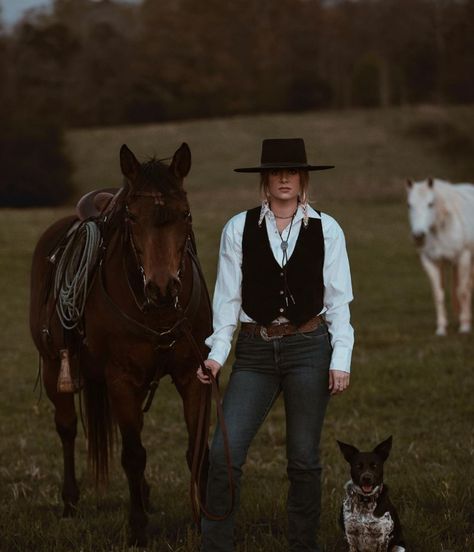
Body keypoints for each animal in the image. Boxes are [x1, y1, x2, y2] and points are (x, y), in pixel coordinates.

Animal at [30, 143, 212, 548]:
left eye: (186, 213)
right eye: (131, 215)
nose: (163, 288)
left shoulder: (192, 375)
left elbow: (195, 450)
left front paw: (202, 523)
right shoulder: (121, 379)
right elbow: (132, 454)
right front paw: (138, 528)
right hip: (53, 367)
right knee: (67, 428)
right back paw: (70, 503)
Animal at [406, 179, 474, 334]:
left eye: (430, 204)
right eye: (409, 205)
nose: (419, 235)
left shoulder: (464, 256)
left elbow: (462, 291)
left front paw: (464, 326)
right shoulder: (430, 261)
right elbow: (438, 294)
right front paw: (441, 328)